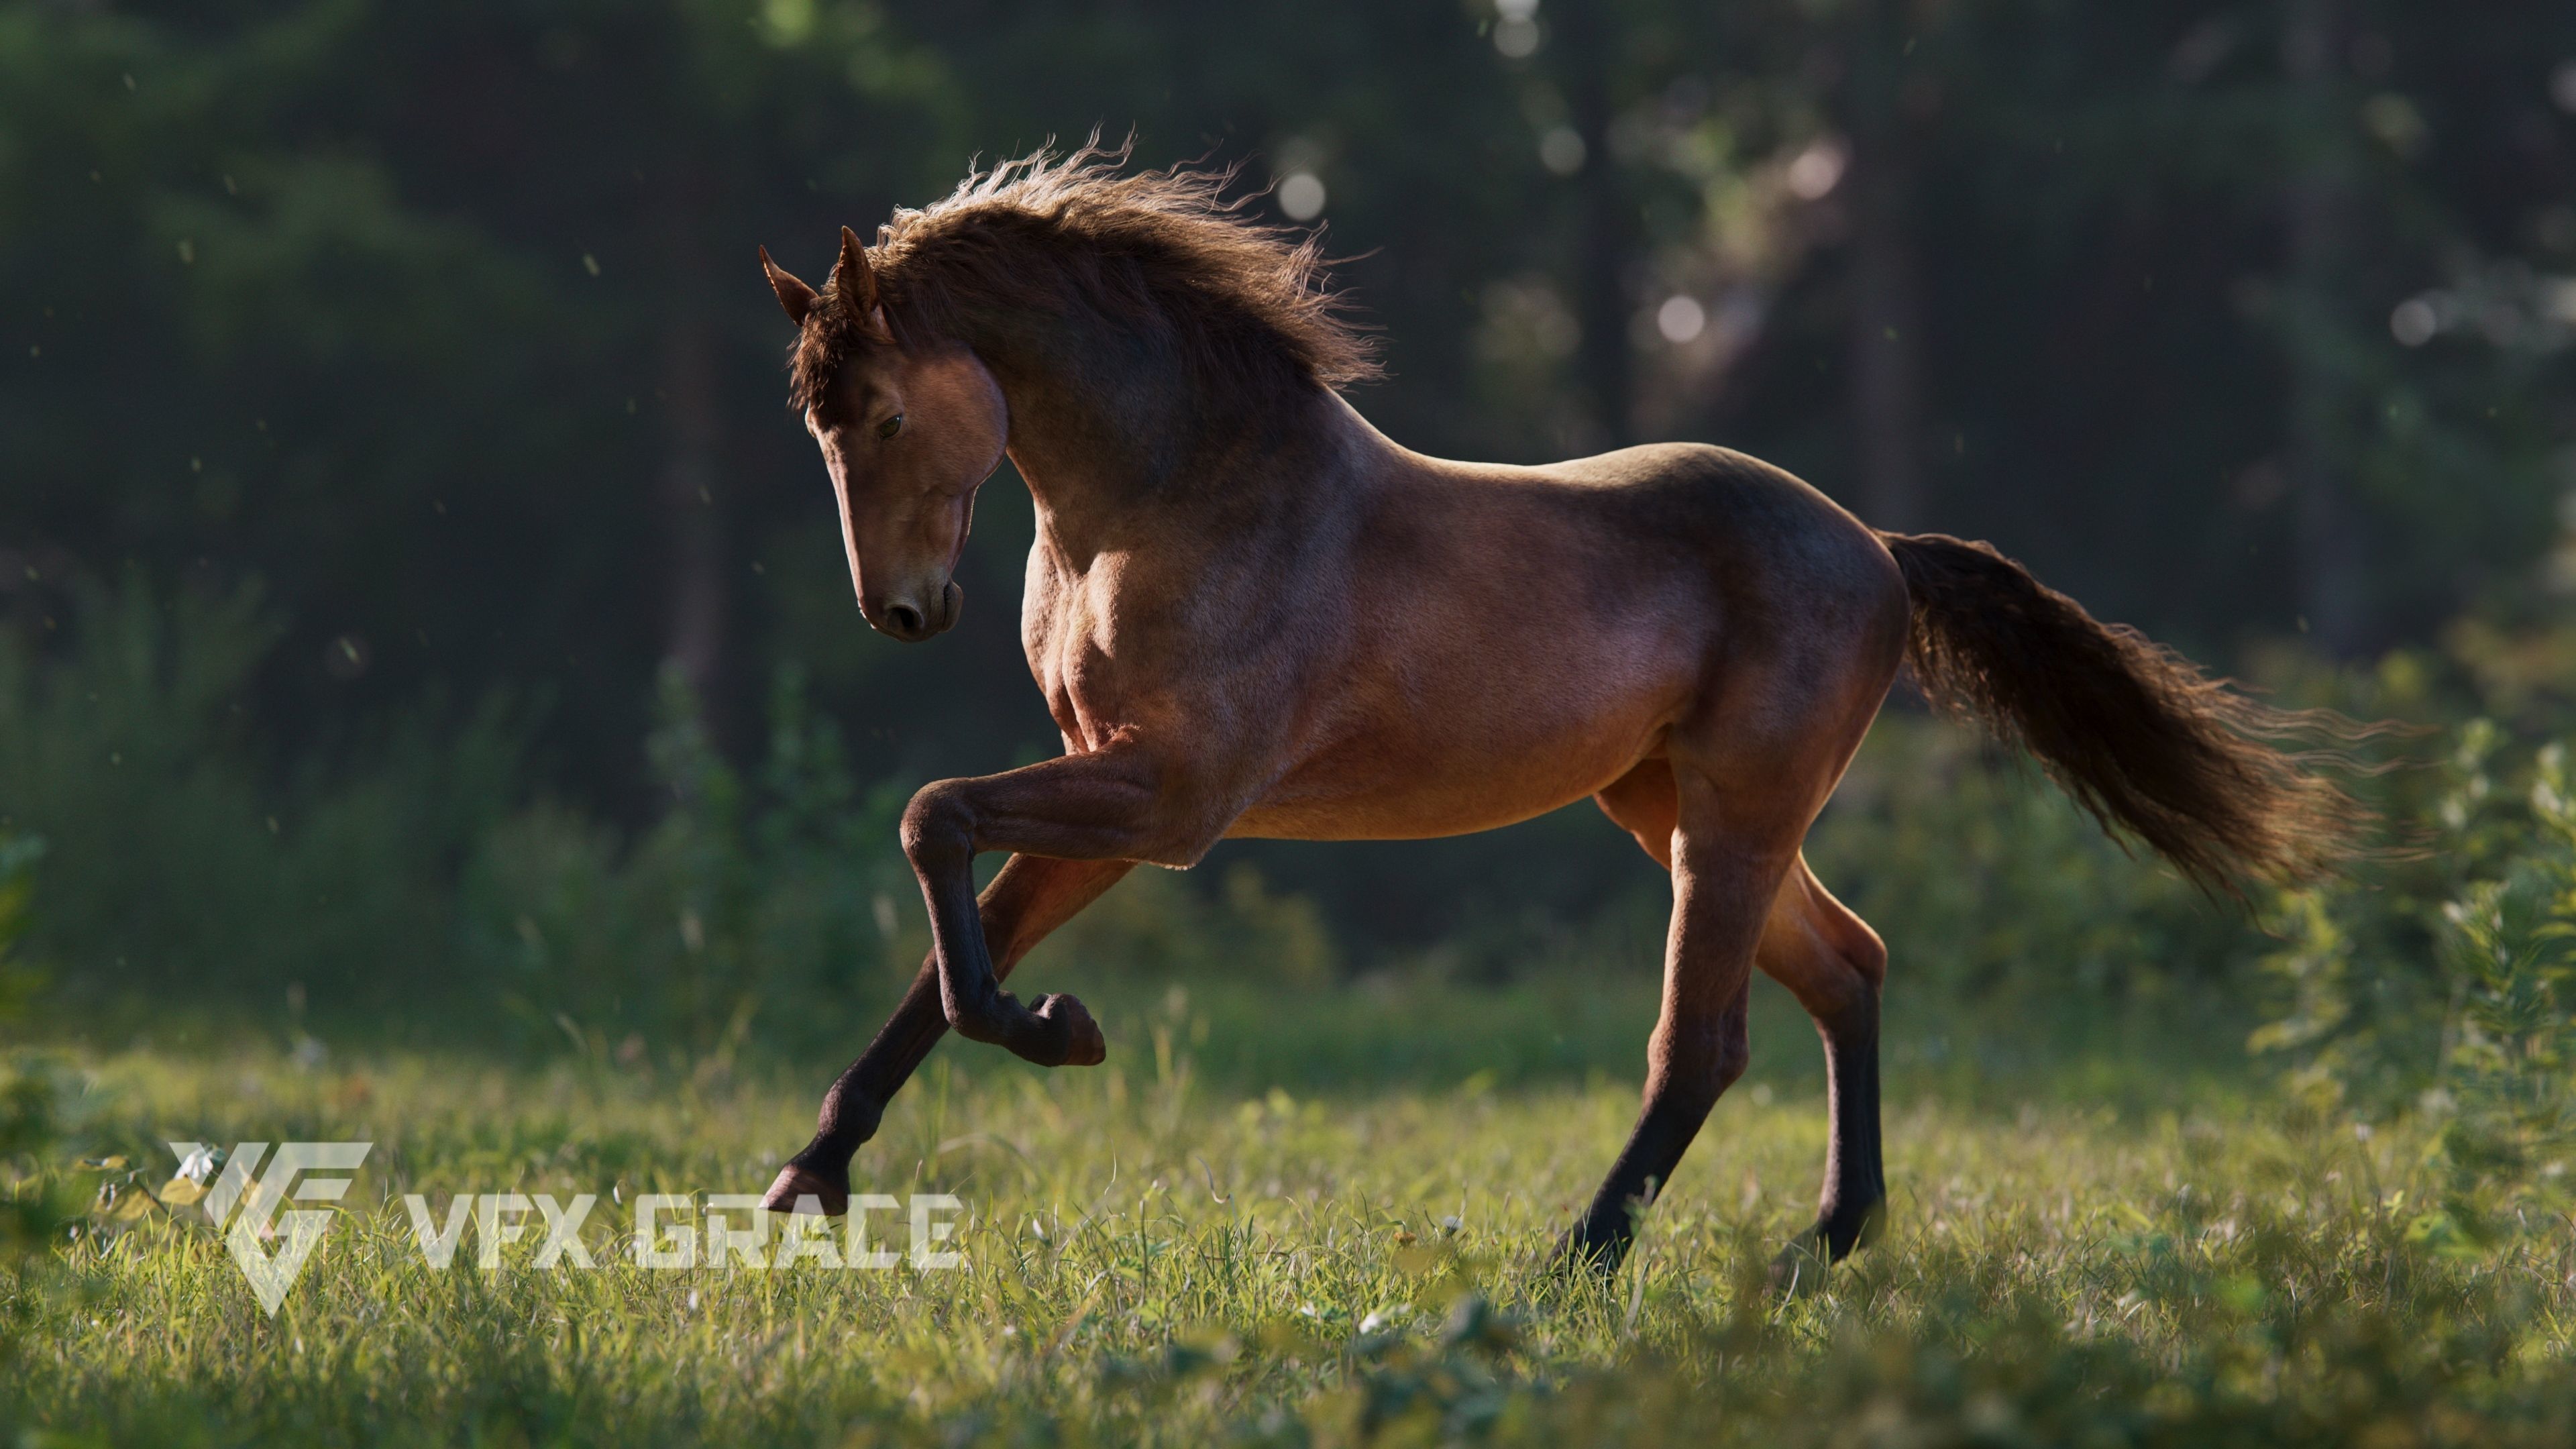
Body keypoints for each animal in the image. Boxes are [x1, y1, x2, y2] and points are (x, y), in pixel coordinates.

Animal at [748, 146, 2357, 1279]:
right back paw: (1829, 1244)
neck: (1167, 500)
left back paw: (1574, 1268)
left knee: (1704, 1043)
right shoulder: (1112, 783)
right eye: (812, 422)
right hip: (1668, 806)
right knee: (1847, 970)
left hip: (1732, 819)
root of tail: (1879, 552)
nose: (900, 612)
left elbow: (931, 824)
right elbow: (949, 928)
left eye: (880, 411)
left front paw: (1059, 1033)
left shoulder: (1174, 796)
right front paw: (811, 1177)